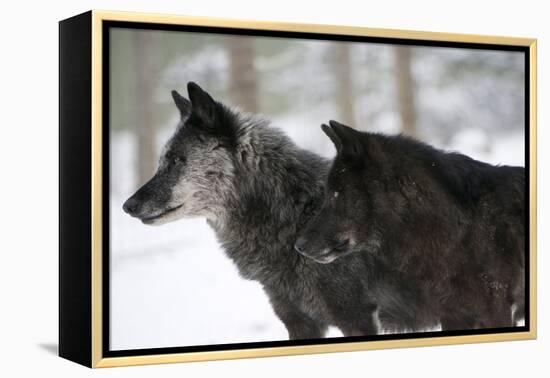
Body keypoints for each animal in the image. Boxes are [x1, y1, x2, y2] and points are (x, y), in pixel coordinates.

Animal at [124, 84, 390, 338]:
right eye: (163, 160)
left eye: (177, 160)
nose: (127, 206)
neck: (296, 214)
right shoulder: (298, 321)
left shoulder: (356, 319)